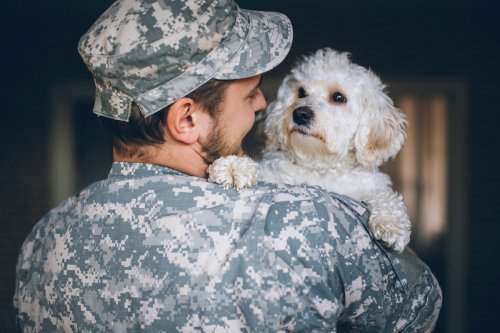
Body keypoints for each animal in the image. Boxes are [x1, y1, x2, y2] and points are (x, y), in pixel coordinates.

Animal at [209, 48, 412, 252]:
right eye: (301, 92)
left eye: (338, 97)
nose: (300, 114)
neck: (318, 165)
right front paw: (234, 167)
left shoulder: (367, 183)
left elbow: (383, 193)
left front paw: (391, 223)